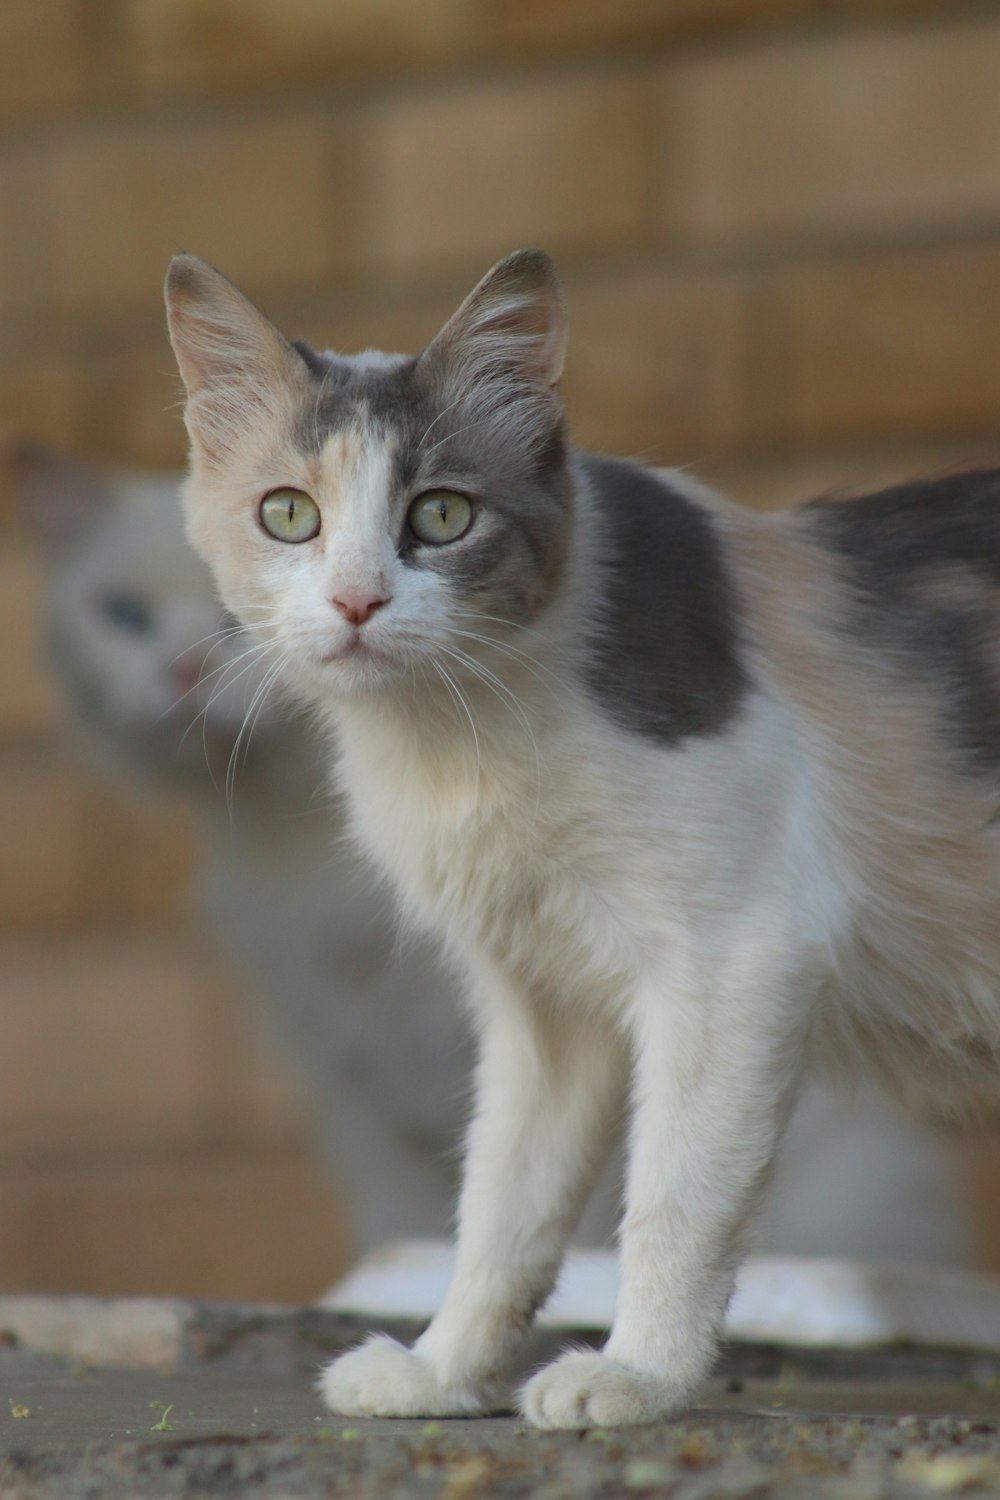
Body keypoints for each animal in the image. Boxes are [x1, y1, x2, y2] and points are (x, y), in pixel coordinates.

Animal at [162, 246, 1000, 1428]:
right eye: (288, 515)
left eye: (442, 516)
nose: (358, 601)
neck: (455, 736)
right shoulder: (541, 1008)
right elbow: (501, 1205)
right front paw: (444, 1371)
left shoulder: (736, 958)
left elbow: (677, 1195)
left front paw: (637, 1375)